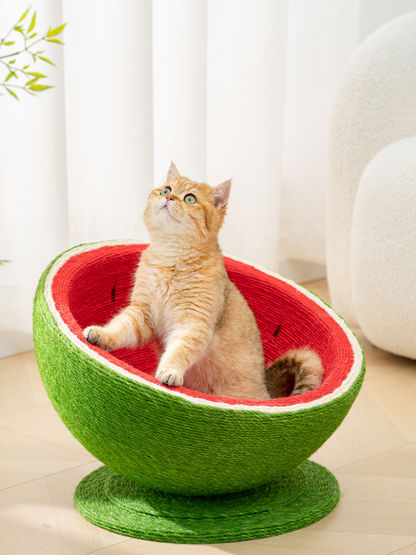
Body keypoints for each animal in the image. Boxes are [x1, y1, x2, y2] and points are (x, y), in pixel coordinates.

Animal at [84, 163, 324, 402]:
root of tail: (267, 393)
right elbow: (120, 328)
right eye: (166, 190)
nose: (169, 197)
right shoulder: (142, 314)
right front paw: (101, 335)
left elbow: (179, 351)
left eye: (190, 199)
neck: (171, 261)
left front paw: (169, 371)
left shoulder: (193, 324)